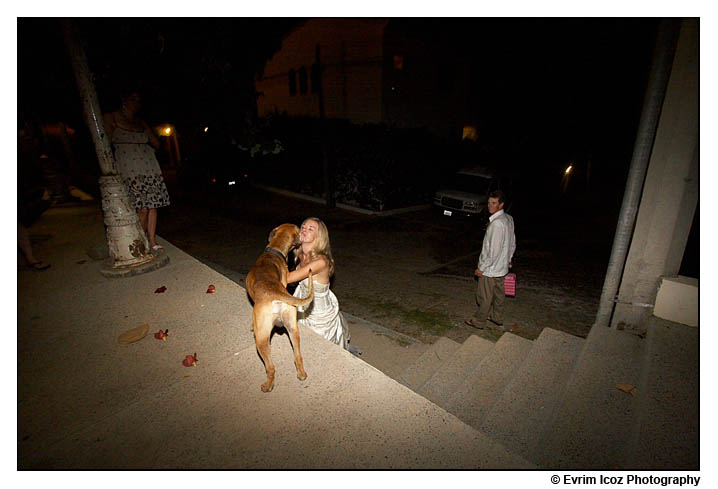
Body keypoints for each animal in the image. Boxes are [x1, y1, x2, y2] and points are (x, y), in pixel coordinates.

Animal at [246, 223, 314, 390]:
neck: (274, 250)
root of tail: (276, 294)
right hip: (293, 328)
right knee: (298, 355)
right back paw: (301, 374)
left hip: (261, 339)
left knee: (270, 367)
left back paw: (267, 385)